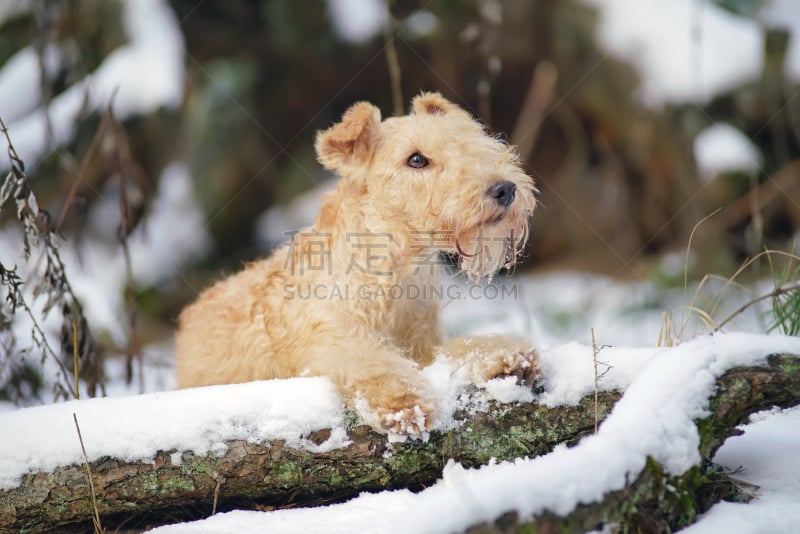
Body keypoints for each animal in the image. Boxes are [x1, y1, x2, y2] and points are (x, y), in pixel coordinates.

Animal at [175, 92, 536, 438]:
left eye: (472, 137)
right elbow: (373, 365)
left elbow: (462, 347)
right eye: (416, 159)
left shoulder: (424, 349)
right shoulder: (334, 348)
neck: (393, 271)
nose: (504, 189)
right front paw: (404, 405)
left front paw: (508, 358)